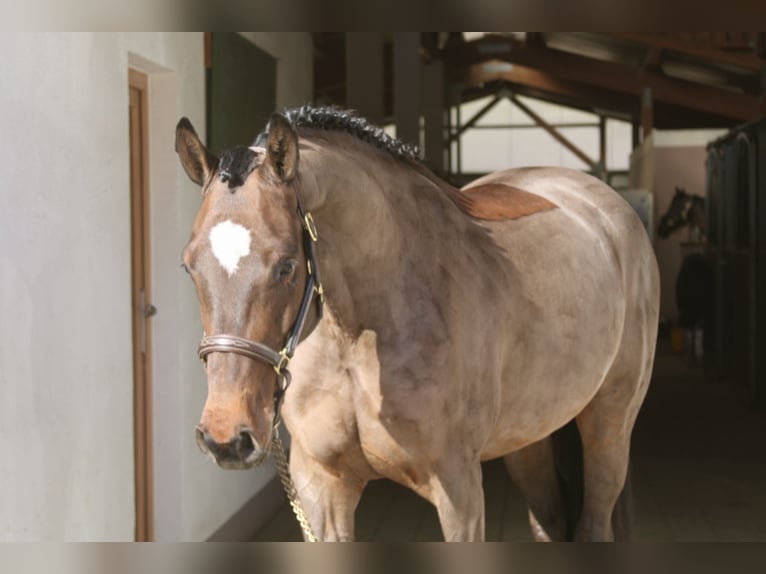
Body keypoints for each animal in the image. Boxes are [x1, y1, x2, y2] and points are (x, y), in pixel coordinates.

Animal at [175, 106, 660, 542]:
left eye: (287, 265)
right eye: (188, 266)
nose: (226, 438)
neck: (357, 332)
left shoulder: (459, 491)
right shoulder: (322, 488)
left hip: (610, 424)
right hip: (529, 434)